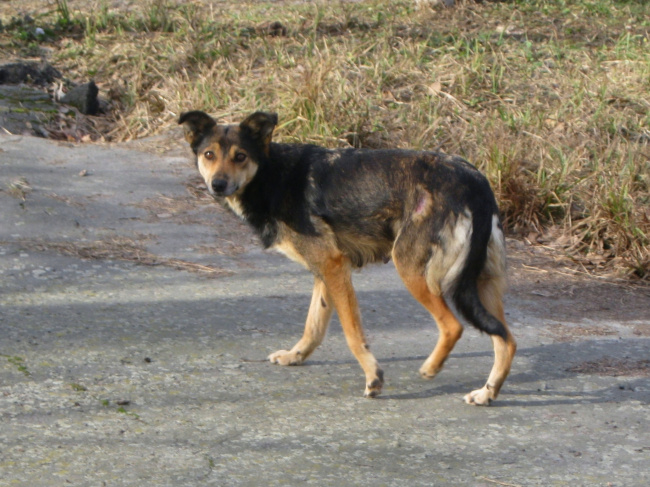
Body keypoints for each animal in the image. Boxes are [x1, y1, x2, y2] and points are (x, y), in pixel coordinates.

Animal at [178, 111, 516, 408]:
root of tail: (475, 181)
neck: (272, 173)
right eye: (209, 154)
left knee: (453, 326)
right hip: (482, 283)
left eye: (240, 156)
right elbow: (313, 325)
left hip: (414, 271)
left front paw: (373, 378)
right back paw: (486, 393)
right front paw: (295, 356)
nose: (218, 184)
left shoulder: (334, 267)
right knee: (507, 340)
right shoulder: (326, 272)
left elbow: (353, 334)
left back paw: (432, 368)